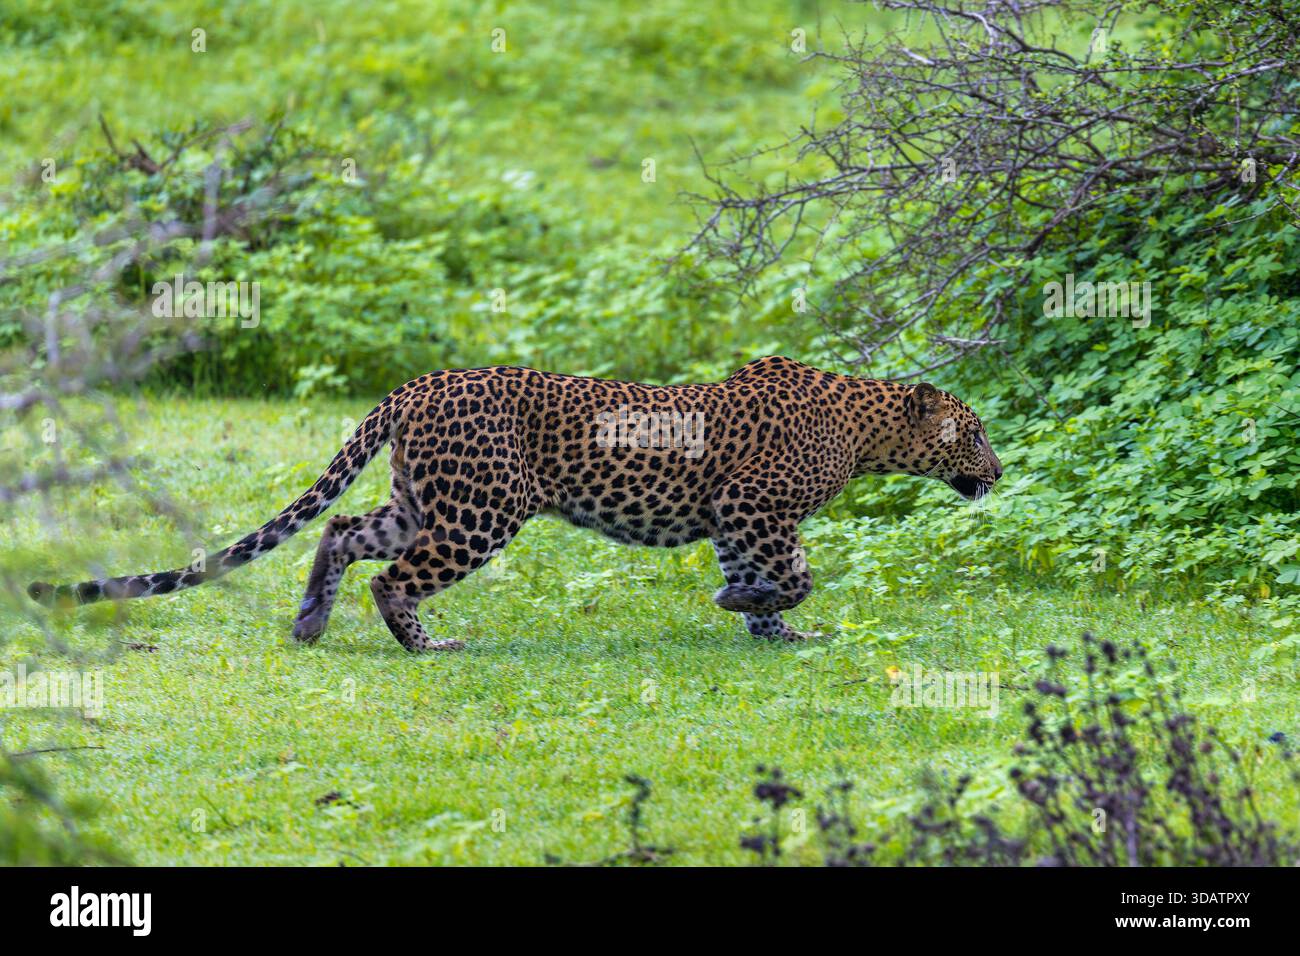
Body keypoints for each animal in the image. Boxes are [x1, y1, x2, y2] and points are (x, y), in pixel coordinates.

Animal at [27, 356, 1002, 651]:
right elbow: (793, 571)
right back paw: (425, 645)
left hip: (425, 499)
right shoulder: (755, 506)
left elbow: (770, 578)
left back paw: (309, 621)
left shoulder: (737, 518)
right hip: (480, 513)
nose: (995, 473)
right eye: (975, 432)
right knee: (394, 577)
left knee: (342, 531)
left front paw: (767, 627)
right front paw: (751, 605)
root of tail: (416, 384)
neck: (866, 427)